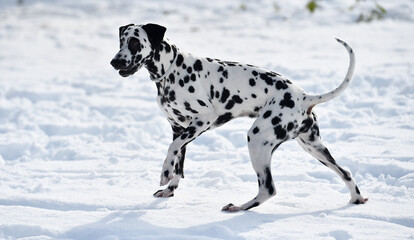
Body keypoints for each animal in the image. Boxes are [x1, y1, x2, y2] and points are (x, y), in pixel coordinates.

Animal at [110, 23, 368, 212]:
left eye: (135, 42)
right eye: (121, 41)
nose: (115, 62)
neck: (171, 69)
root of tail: (304, 96)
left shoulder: (202, 120)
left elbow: (171, 151)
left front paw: (164, 173)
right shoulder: (179, 128)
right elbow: (179, 164)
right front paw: (170, 189)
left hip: (257, 140)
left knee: (268, 189)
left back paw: (240, 207)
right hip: (313, 147)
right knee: (345, 172)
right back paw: (357, 198)